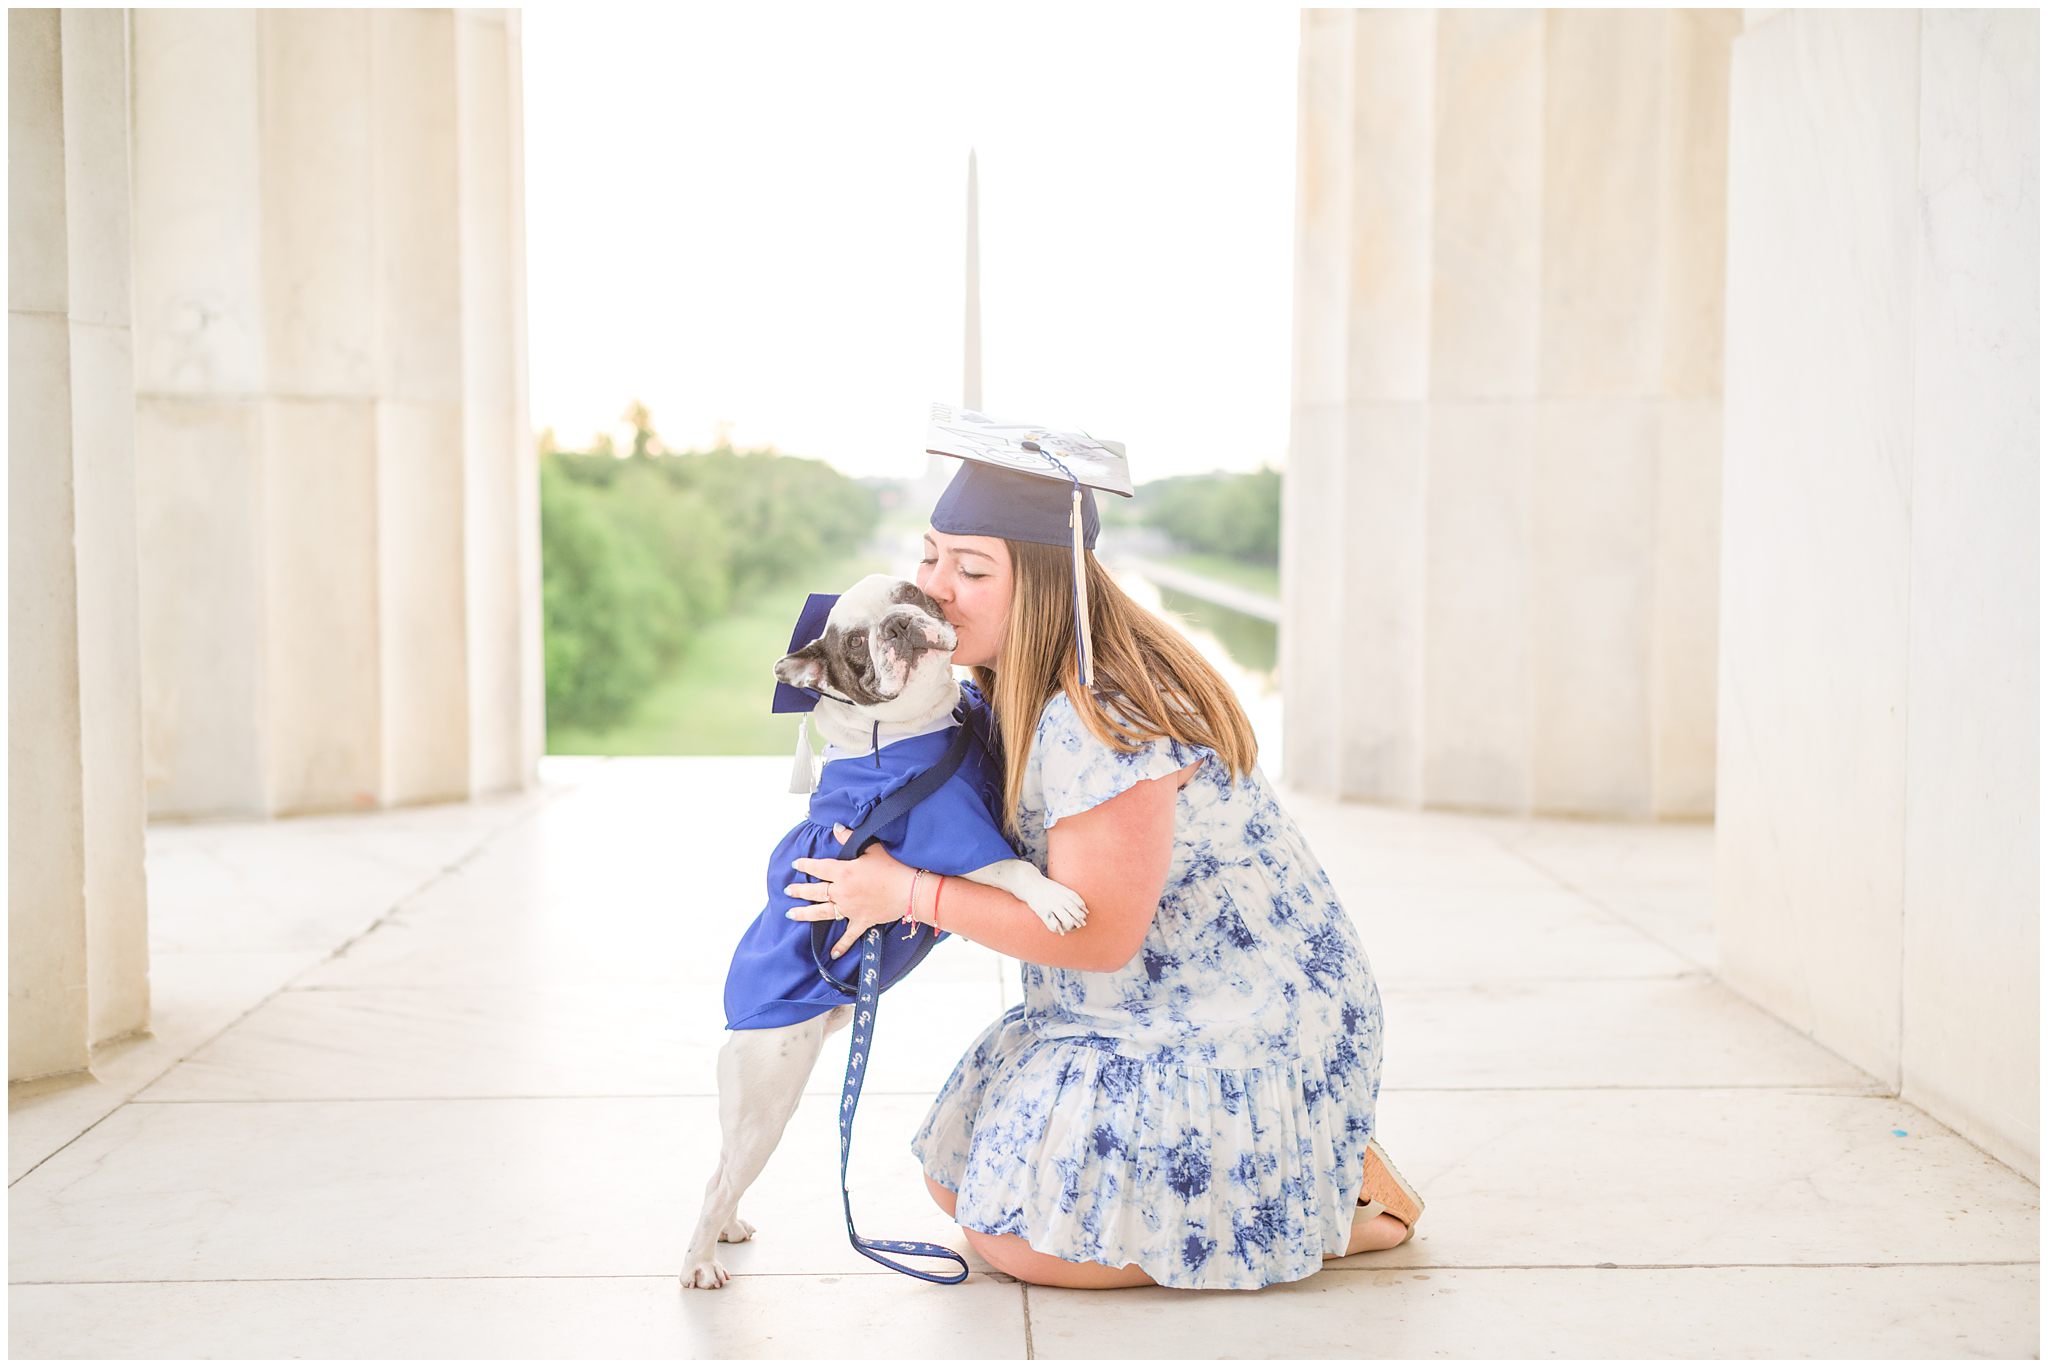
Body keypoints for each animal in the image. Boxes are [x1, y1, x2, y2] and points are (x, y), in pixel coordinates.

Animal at [684, 569, 1097, 1294]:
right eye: (854, 643)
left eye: (910, 592)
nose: (898, 626)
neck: (912, 730)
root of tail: (738, 1023)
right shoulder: (948, 833)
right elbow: (1012, 866)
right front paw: (1051, 899)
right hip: (768, 1093)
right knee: (718, 1179)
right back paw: (701, 1261)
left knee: (727, 1169)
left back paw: (727, 1230)